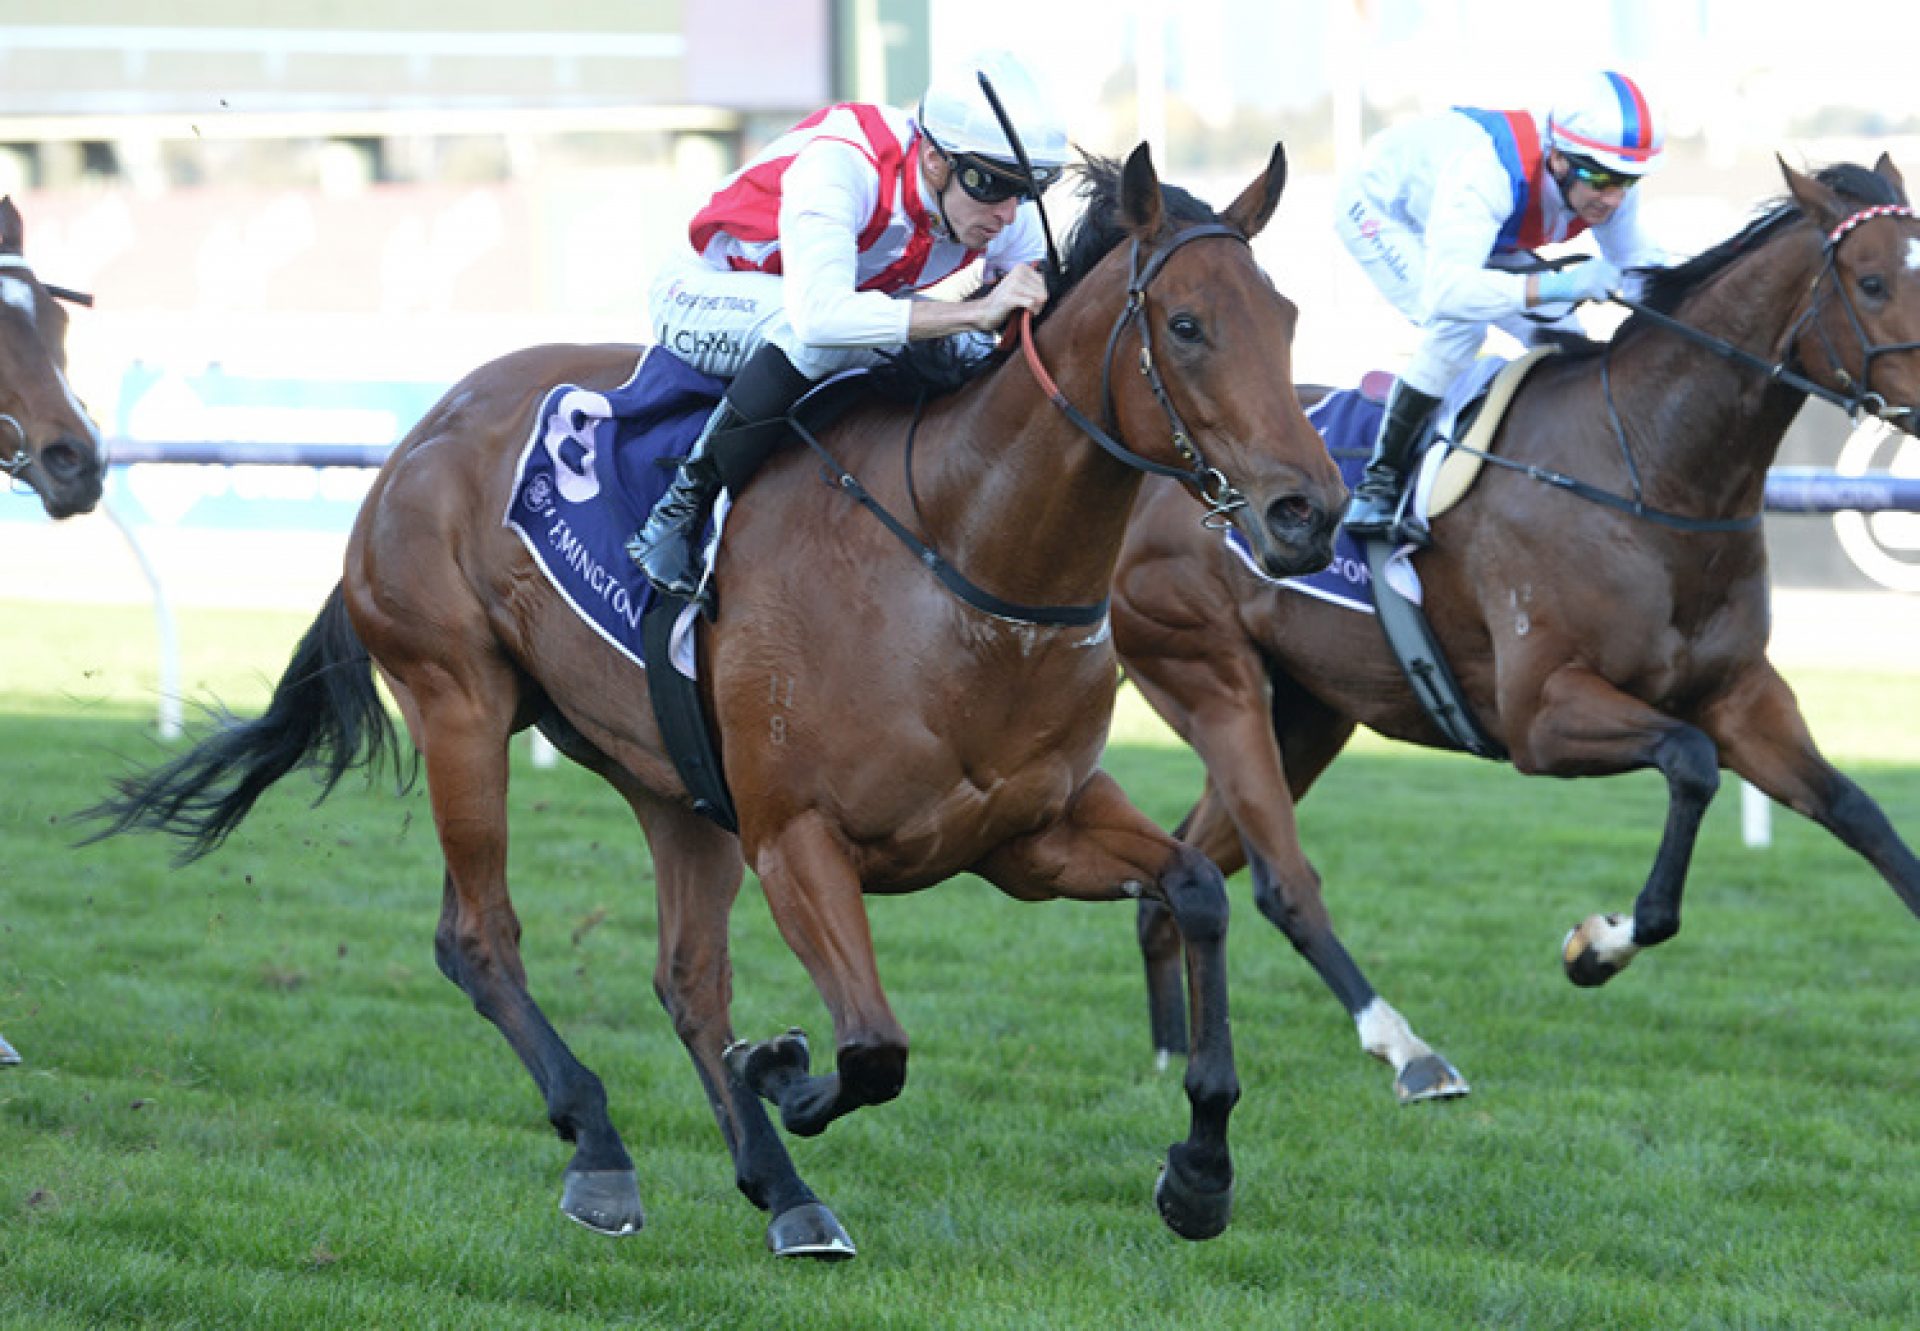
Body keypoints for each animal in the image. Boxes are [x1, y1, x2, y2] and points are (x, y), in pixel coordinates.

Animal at [86, 145, 1336, 1259]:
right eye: (1187, 325)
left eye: (1287, 319)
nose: (1308, 510)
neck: (959, 554)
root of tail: (423, 431)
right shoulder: (797, 837)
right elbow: (873, 1046)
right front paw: (783, 1069)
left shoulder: (1028, 832)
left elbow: (1196, 889)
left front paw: (1200, 1173)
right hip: (459, 700)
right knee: (480, 937)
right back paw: (603, 1149)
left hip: (671, 783)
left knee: (686, 980)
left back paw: (787, 1192)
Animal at [1121, 155, 1920, 1098]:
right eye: (1872, 281)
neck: (1647, 466)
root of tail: (1151, 475)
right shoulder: (1541, 714)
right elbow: (1690, 763)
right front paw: (1597, 945)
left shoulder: (1742, 694)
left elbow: (1860, 812)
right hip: (1209, 676)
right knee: (1281, 881)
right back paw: (1407, 1049)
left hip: (1308, 712)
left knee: (1187, 860)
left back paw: (1170, 1049)